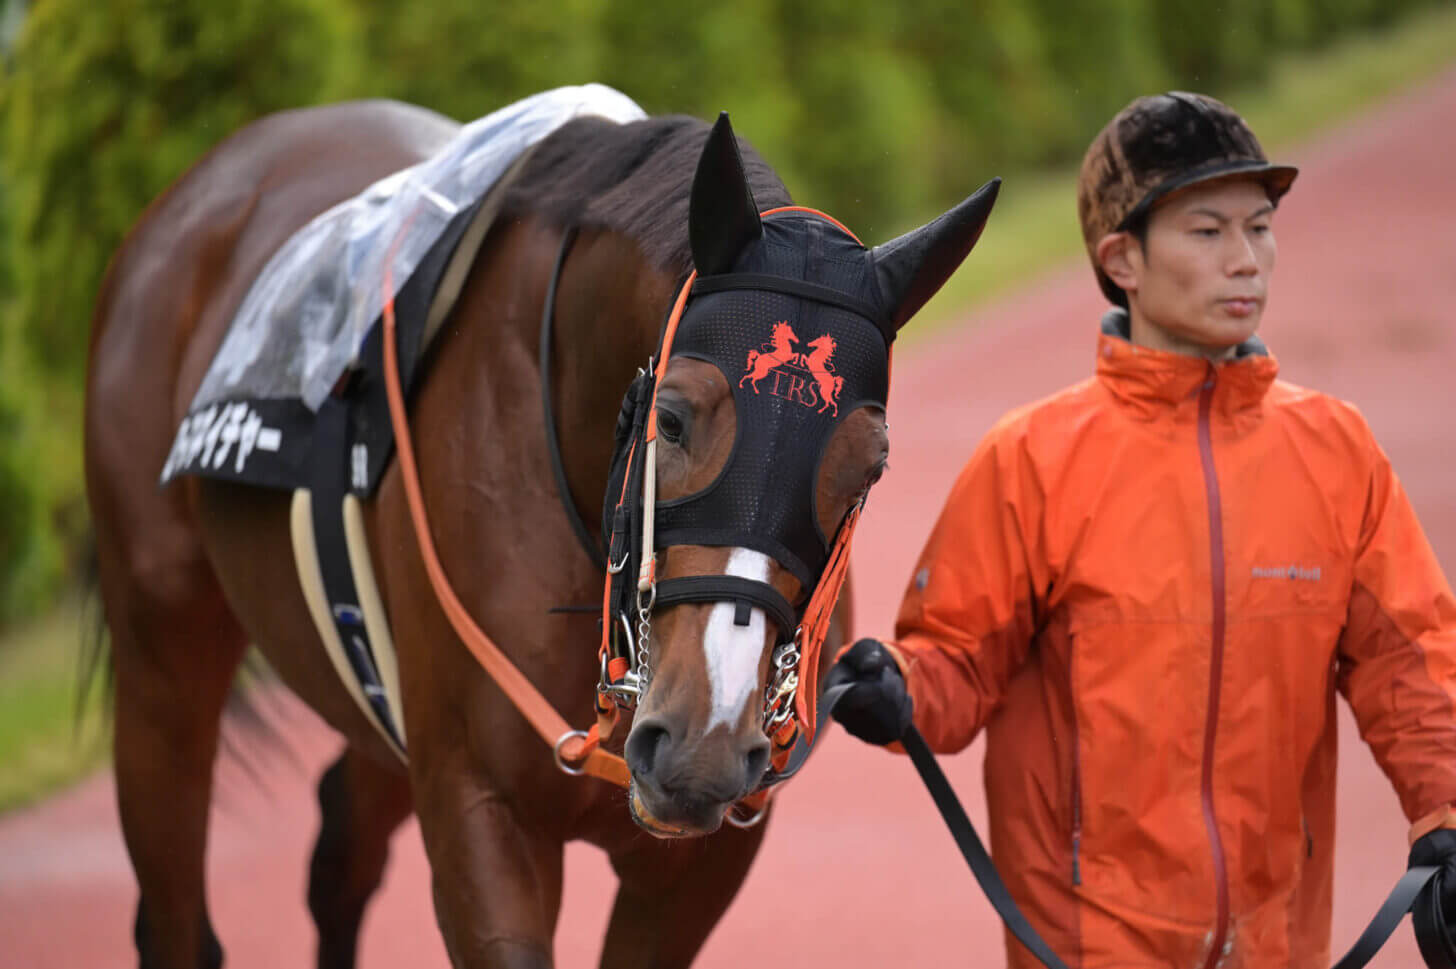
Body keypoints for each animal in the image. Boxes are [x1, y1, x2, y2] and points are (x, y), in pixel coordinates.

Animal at [82, 92, 1001, 966]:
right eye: (672, 419)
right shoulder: (479, 808)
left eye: (869, 467)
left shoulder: (701, 852)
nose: (700, 742)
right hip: (163, 664)